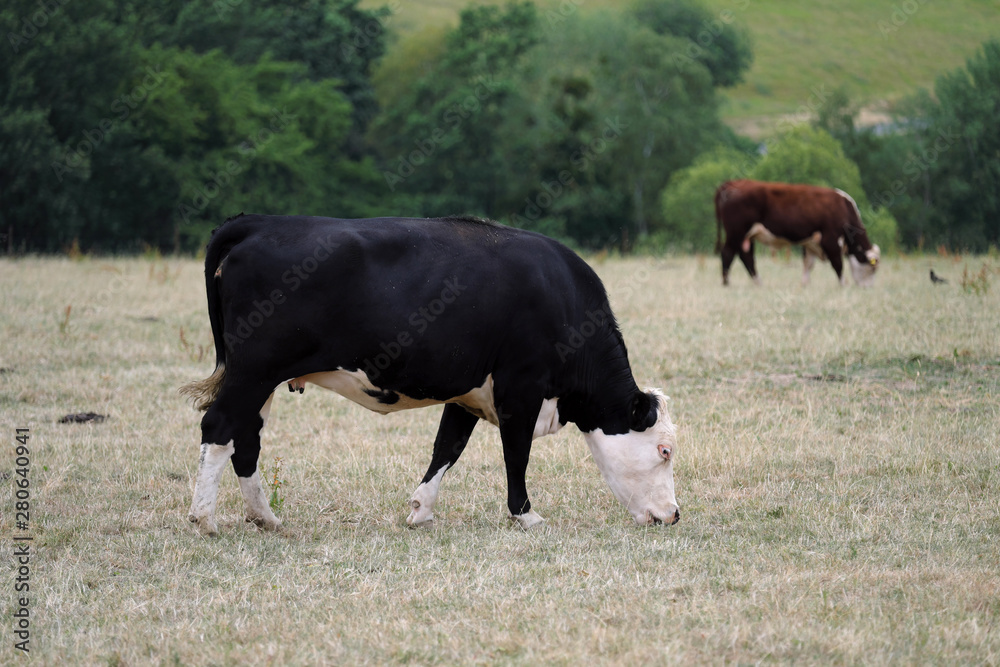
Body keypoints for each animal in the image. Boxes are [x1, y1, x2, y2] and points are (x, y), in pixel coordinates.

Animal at [182, 214, 680, 536]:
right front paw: (525, 514)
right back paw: (205, 519)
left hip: (261, 380)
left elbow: (448, 448)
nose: (674, 514)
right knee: (219, 427)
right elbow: (515, 454)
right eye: (665, 450)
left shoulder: (469, 394)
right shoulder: (521, 388)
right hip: (253, 371)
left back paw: (265, 518)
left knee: (246, 438)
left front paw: (421, 511)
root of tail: (258, 222)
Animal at [716, 180, 880, 288]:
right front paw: (843, 284)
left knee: (746, 257)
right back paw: (726, 282)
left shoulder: (810, 243)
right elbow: (837, 263)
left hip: (746, 236)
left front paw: (805, 283)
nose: (868, 288)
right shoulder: (831, 239)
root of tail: (734, 182)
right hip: (736, 232)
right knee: (728, 253)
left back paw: (758, 282)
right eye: (872, 268)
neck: (843, 208)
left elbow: (808, 263)